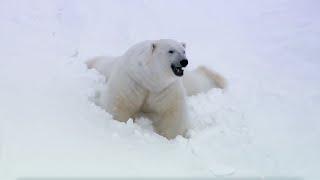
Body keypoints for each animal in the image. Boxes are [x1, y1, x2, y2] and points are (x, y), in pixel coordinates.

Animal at [85, 39, 225, 139]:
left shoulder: (166, 87)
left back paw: (218, 80)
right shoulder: (132, 81)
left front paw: (171, 137)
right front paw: (120, 124)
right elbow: (120, 103)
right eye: (171, 51)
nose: (184, 61)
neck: (149, 78)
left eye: (184, 51)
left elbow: (172, 112)